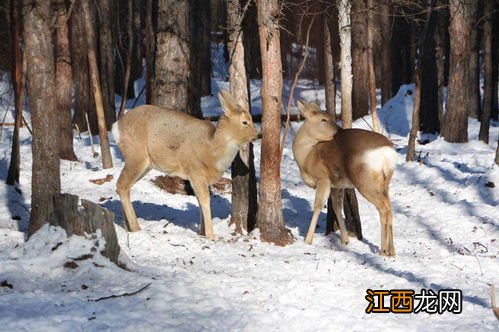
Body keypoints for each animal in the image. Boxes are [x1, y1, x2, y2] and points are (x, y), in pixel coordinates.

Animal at [114, 91, 262, 239]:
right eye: (245, 122)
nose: (259, 134)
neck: (211, 151)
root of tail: (117, 126)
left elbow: (199, 200)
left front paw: (202, 233)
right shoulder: (195, 171)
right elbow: (205, 199)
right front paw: (210, 235)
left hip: (145, 164)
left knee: (124, 187)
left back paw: (128, 226)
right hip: (136, 156)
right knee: (121, 184)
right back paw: (136, 227)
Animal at [292, 100, 398, 255]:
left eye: (330, 117)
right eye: (324, 119)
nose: (338, 130)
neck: (307, 156)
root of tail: (387, 152)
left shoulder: (323, 179)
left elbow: (318, 206)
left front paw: (308, 240)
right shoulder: (337, 185)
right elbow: (337, 207)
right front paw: (345, 240)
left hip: (365, 181)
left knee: (384, 208)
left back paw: (383, 251)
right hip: (385, 182)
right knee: (389, 208)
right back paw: (392, 252)